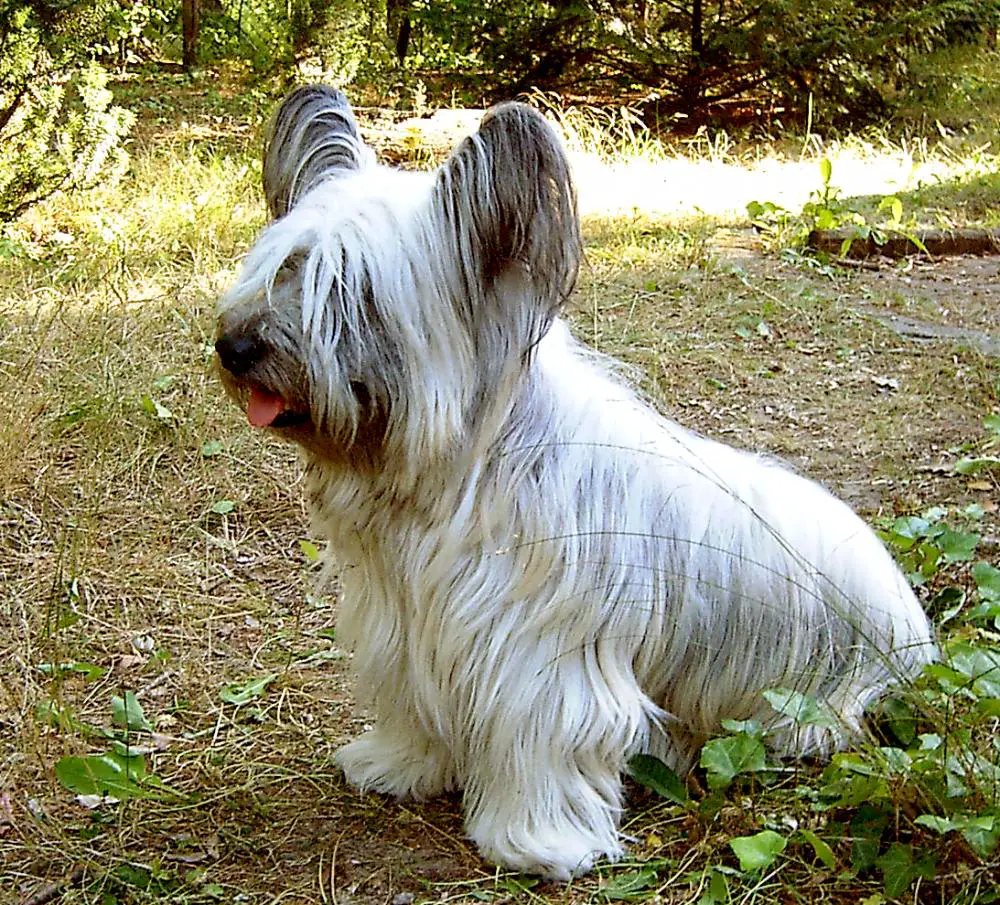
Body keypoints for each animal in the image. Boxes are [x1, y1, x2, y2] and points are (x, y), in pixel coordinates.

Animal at [213, 88, 936, 880]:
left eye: (348, 290)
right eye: (282, 267)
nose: (234, 347)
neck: (465, 471)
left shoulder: (539, 660)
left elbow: (540, 741)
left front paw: (538, 841)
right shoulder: (406, 629)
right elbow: (414, 706)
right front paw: (399, 765)